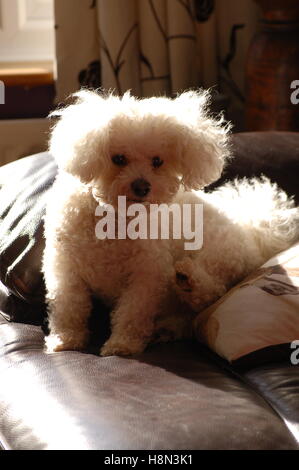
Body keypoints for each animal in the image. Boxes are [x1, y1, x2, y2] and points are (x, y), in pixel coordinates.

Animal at [42, 89, 299, 356]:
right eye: (118, 158)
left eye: (157, 161)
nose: (142, 187)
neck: (116, 217)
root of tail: (253, 234)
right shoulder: (64, 268)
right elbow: (69, 306)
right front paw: (65, 339)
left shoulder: (147, 274)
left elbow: (133, 312)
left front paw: (122, 344)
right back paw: (167, 327)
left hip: (217, 253)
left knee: (213, 292)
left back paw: (189, 281)